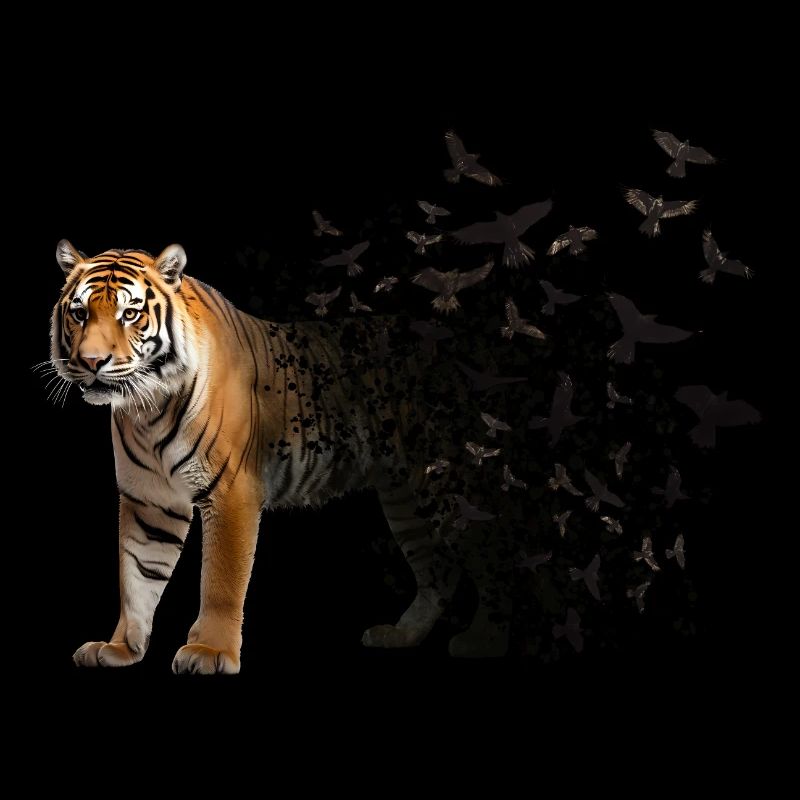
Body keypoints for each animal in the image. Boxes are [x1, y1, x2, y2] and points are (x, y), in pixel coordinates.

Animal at [50, 240, 514, 673]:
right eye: (79, 313)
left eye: (130, 314)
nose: (93, 362)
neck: (147, 408)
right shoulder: (149, 501)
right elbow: (136, 577)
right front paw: (120, 647)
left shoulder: (231, 492)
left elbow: (221, 581)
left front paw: (210, 651)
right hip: (405, 500)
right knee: (440, 573)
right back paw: (401, 635)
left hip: (453, 487)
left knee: (496, 556)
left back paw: (485, 641)